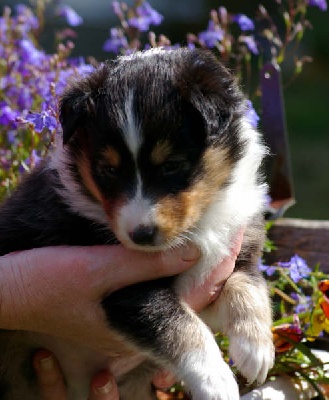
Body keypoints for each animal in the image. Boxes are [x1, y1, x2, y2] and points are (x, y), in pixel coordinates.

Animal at [0, 48, 272, 398]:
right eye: (108, 170)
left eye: (171, 165)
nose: (140, 234)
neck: (196, 225)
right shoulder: (124, 288)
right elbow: (179, 325)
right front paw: (217, 382)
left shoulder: (225, 266)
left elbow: (248, 286)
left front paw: (256, 349)